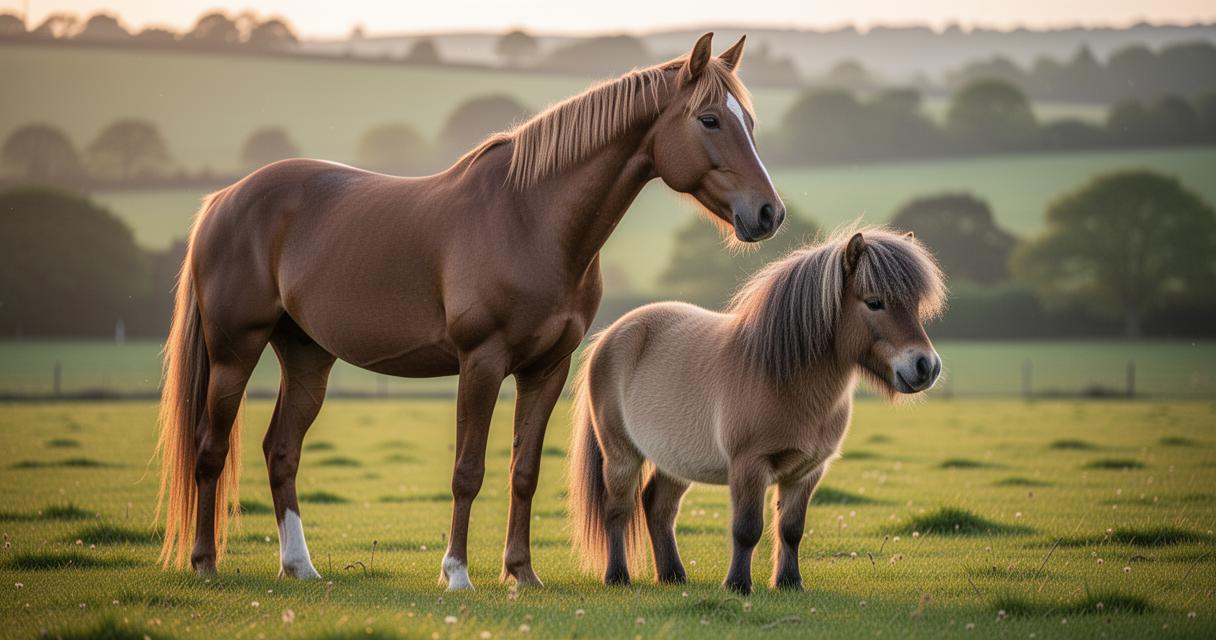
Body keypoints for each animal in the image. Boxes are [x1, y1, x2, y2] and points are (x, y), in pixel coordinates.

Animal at [154, 32, 785, 591]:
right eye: (710, 119)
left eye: (751, 124)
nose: (768, 213)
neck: (528, 219)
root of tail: (226, 199)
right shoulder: (480, 363)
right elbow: (468, 471)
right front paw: (457, 574)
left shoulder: (546, 369)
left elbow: (523, 473)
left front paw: (522, 573)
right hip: (234, 353)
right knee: (210, 449)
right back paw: (205, 563)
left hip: (307, 356)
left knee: (281, 452)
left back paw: (300, 568)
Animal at [567, 227, 946, 594]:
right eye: (874, 302)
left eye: (915, 305)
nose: (925, 367)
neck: (781, 376)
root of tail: (612, 334)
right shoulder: (749, 466)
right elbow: (747, 529)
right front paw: (738, 585)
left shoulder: (807, 472)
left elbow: (791, 529)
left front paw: (790, 583)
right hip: (621, 454)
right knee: (618, 510)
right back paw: (618, 577)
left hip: (675, 459)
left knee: (658, 506)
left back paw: (673, 575)